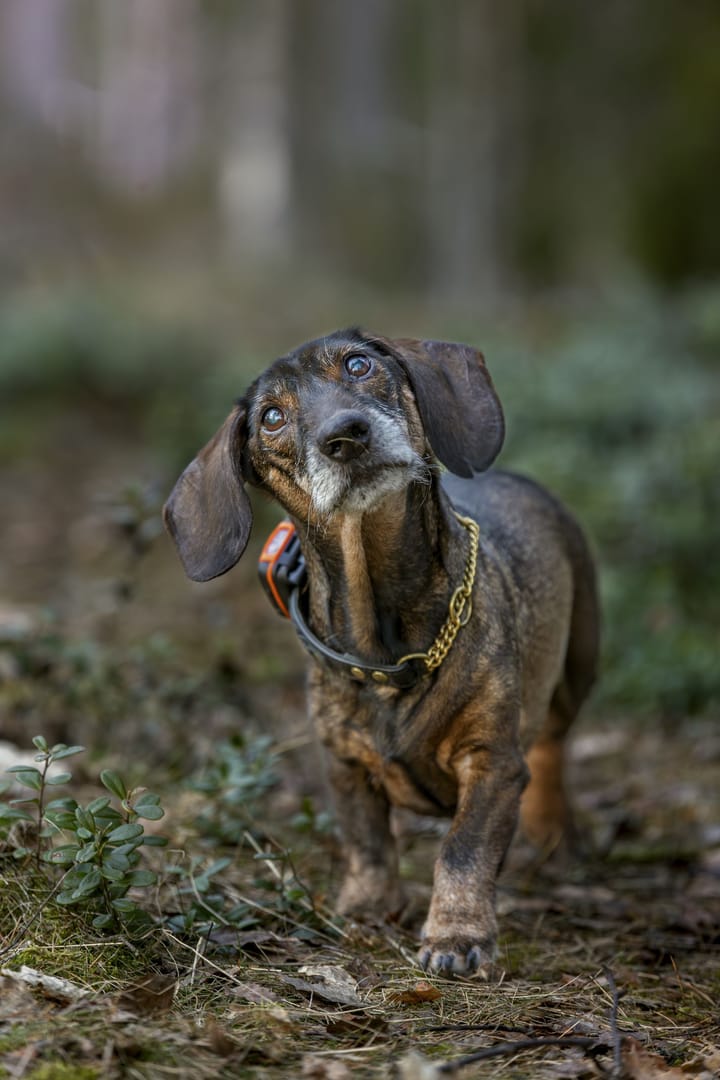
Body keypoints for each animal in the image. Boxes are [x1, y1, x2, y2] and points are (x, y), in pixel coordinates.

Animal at [162, 324, 595, 976]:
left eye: (359, 364)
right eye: (271, 417)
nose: (345, 435)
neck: (390, 650)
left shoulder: (492, 763)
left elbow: (463, 849)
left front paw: (455, 935)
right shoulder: (344, 764)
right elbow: (366, 841)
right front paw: (367, 906)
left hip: (575, 670)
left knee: (551, 747)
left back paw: (550, 834)